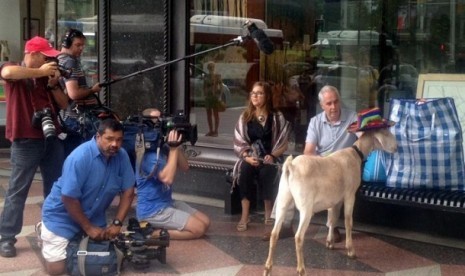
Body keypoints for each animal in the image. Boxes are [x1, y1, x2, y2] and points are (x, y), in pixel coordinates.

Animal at [262, 128, 396, 276]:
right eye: (386, 133)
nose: (396, 147)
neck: (355, 153)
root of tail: (290, 166)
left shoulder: (334, 200)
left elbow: (332, 220)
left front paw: (330, 242)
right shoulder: (349, 195)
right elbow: (348, 222)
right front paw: (350, 250)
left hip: (283, 200)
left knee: (274, 234)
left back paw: (268, 268)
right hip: (305, 207)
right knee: (298, 237)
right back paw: (301, 269)